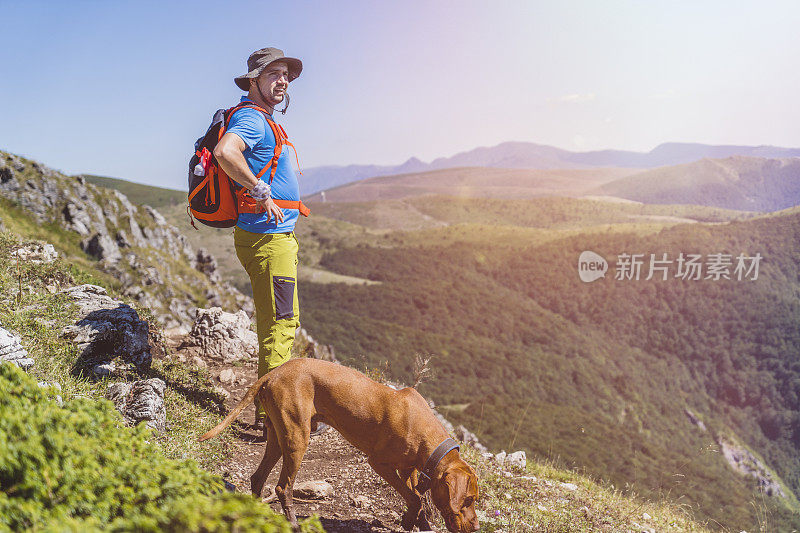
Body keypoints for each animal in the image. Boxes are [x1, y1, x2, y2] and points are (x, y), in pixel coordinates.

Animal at [200, 356, 482, 528]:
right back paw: (293, 523)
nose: (476, 527)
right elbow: (414, 499)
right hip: (297, 438)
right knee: (282, 487)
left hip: (278, 438)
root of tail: (273, 373)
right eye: (468, 500)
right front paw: (408, 520)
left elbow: (417, 498)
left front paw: (419, 523)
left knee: (258, 478)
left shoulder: (411, 469)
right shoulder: (379, 463)